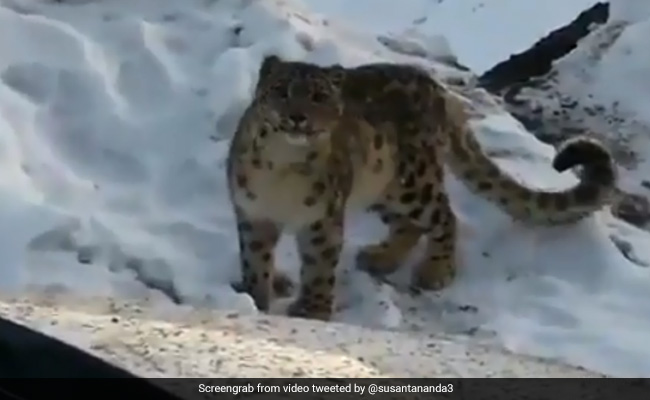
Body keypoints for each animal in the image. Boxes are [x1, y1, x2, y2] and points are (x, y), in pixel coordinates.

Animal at [225, 55, 617, 321]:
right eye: (280, 91)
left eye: (319, 96)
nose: (297, 117)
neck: (282, 167)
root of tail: (438, 89)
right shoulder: (253, 213)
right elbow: (255, 259)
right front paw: (256, 297)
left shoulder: (323, 220)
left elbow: (319, 266)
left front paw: (313, 311)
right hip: (384, 187)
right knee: (409, 224)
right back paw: (380, 258)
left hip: (413, 181)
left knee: (444, 215)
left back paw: (435, 272)